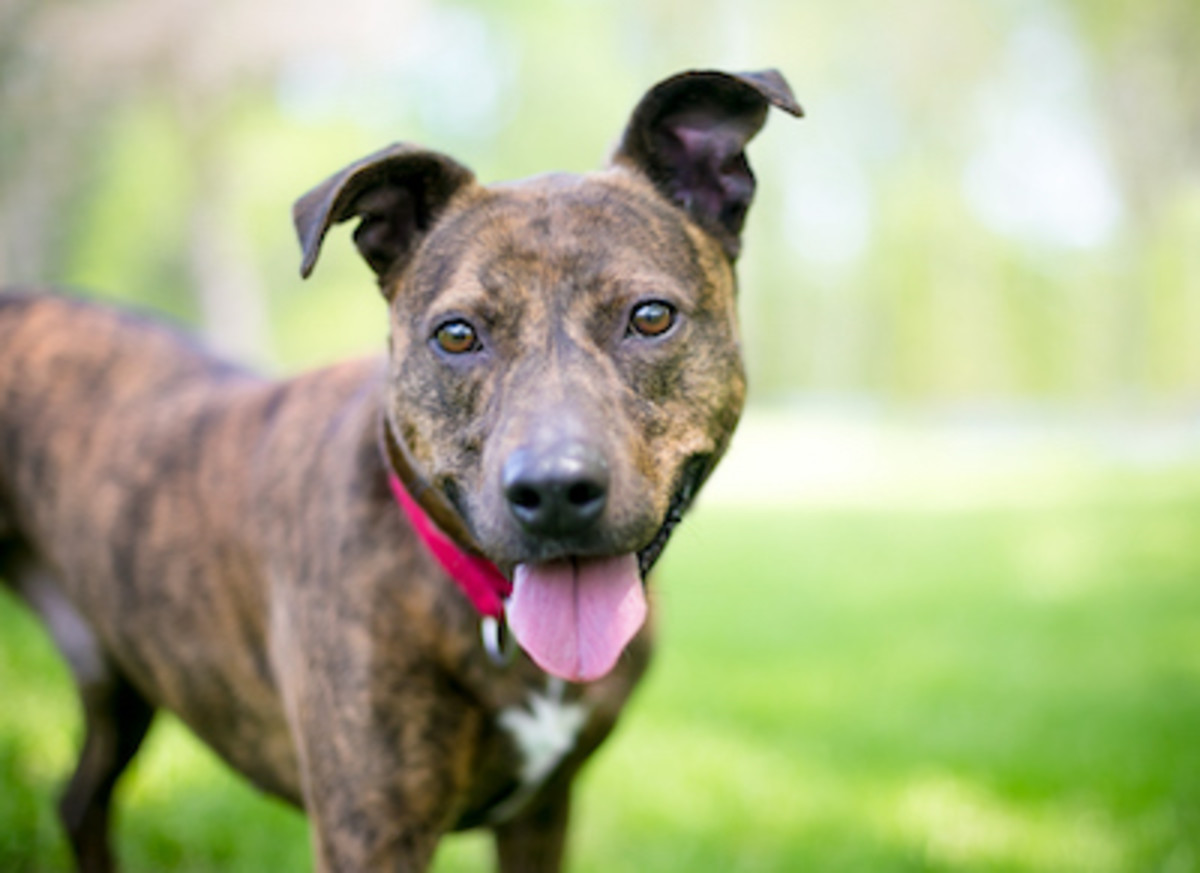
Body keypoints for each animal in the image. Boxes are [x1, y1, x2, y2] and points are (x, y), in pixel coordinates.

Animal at [2, 69, 806, 873]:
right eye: (455, 335)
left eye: (651, 317)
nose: (552, 492)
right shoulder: (371, 830)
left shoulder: (542, 812)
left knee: (80, 799)